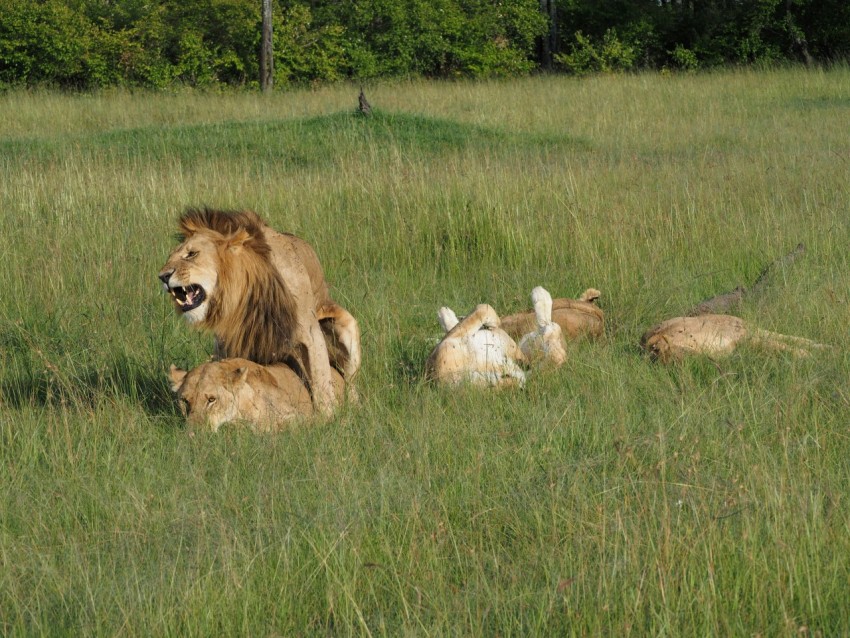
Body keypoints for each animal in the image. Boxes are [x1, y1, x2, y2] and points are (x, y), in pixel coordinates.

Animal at [158, 208, 360, 416]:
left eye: (191, 254)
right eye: (170, 256)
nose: (162, 277)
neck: (247, 296)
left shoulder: (310, 334)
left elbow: (321, 384)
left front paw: (328, 418)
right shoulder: (227, 341)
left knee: (350, 383)